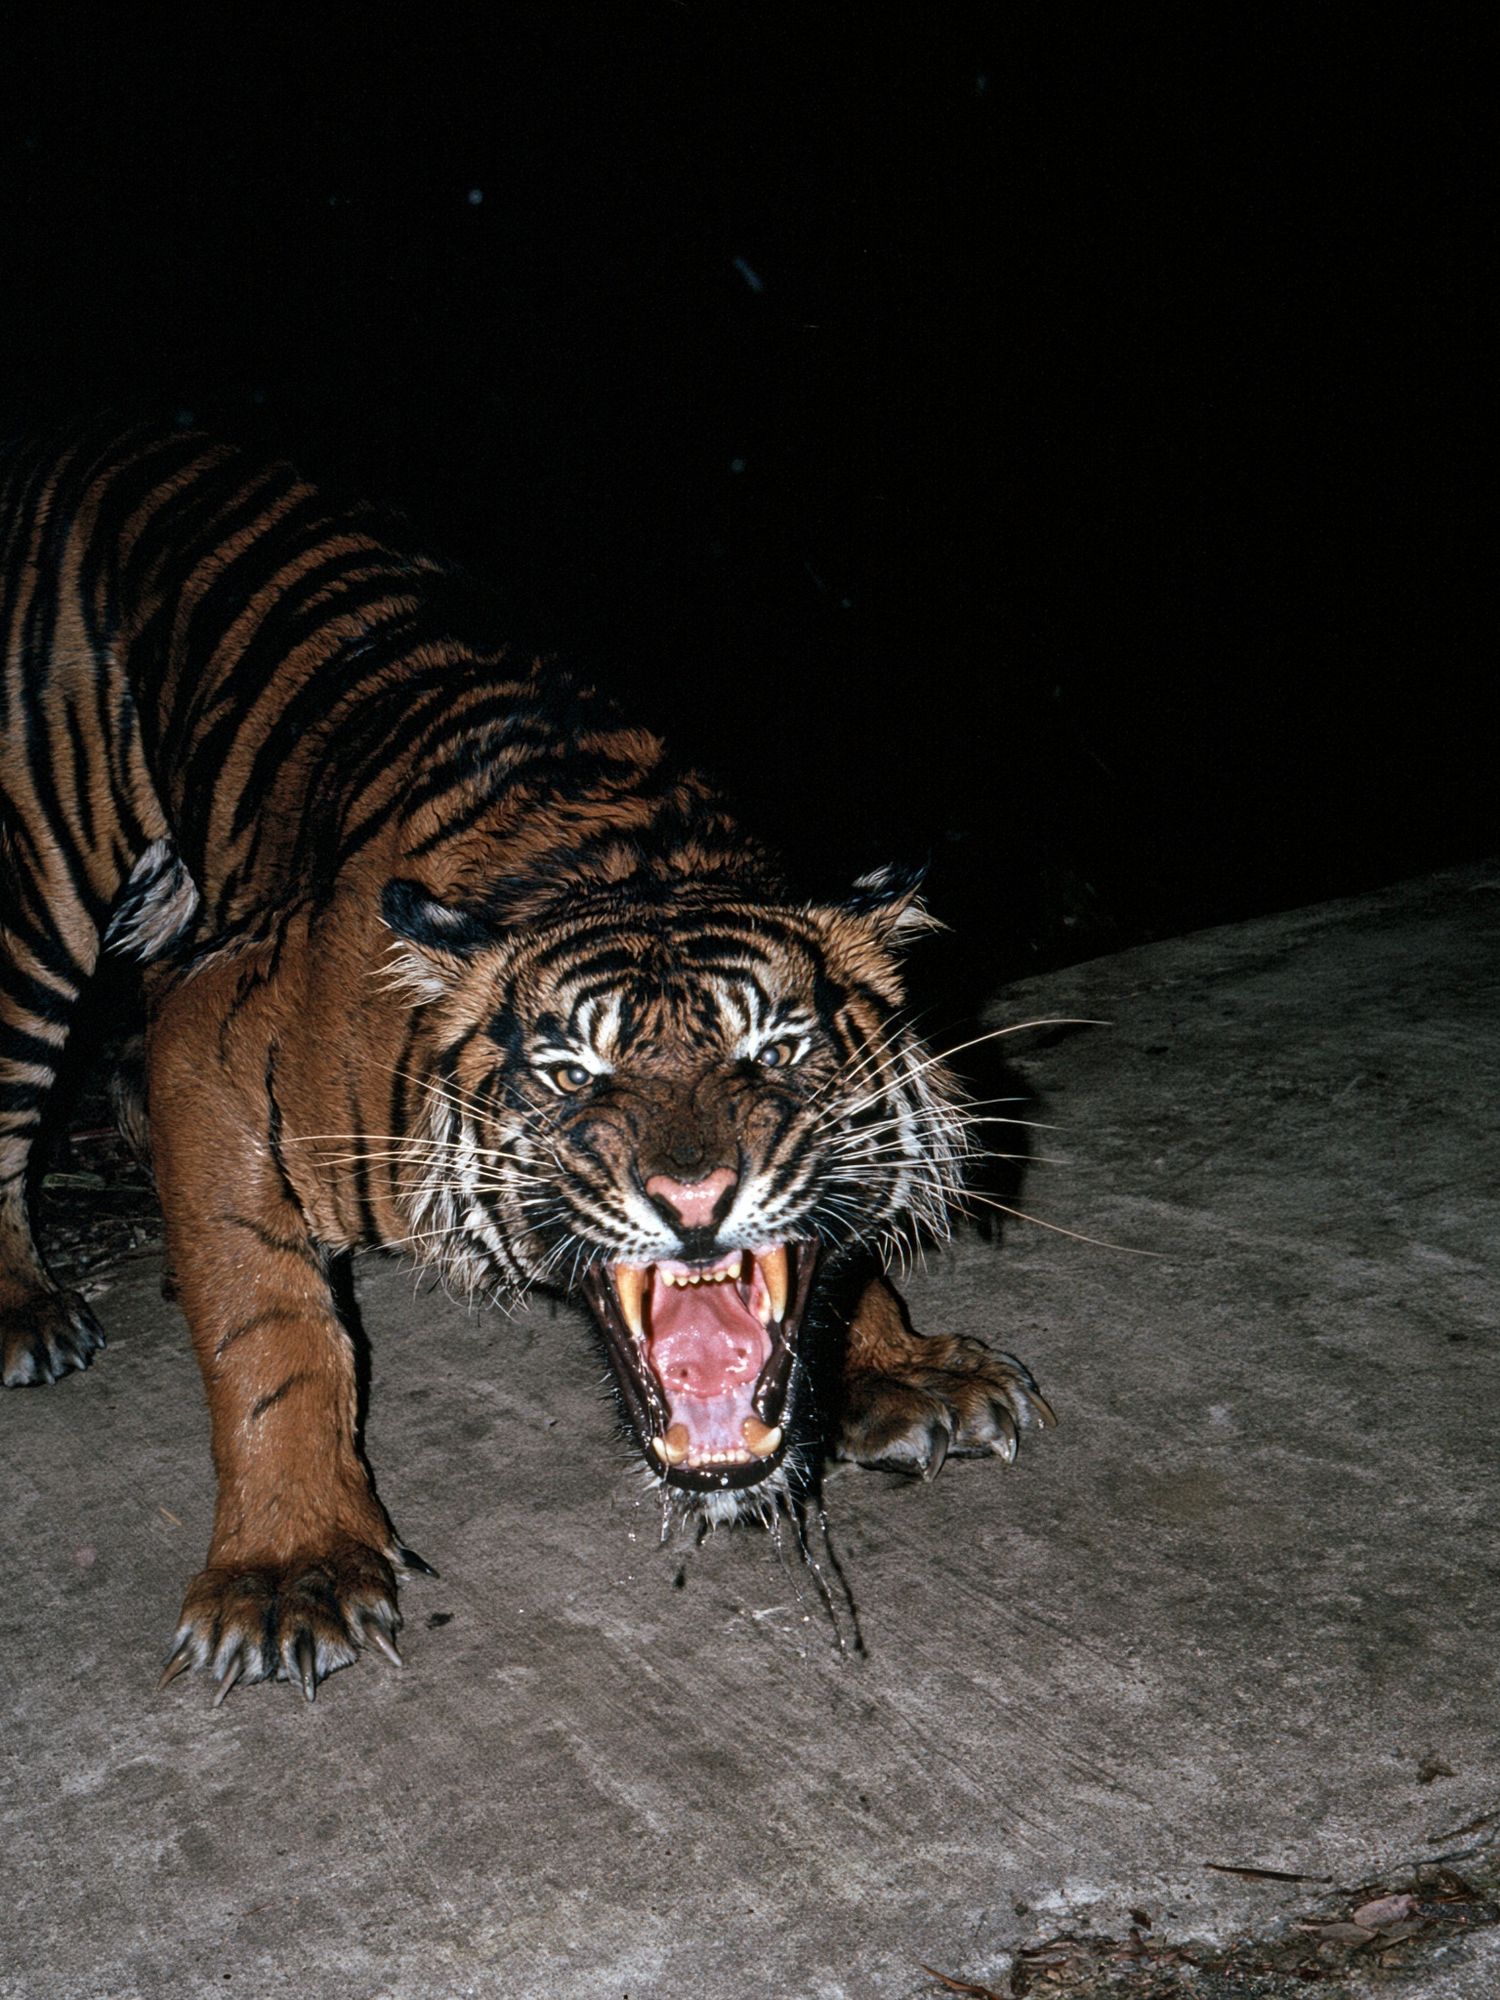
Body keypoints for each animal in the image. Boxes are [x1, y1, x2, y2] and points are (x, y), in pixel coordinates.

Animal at [0, 423, 1054, 1701]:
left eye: (776, 1049)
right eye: (569, 1072)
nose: (697, 1199)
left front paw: (902, 1368)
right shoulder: (219, 1036)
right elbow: (271, 1328)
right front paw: (292, 1567)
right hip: (38, 891)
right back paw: (26, 1310)